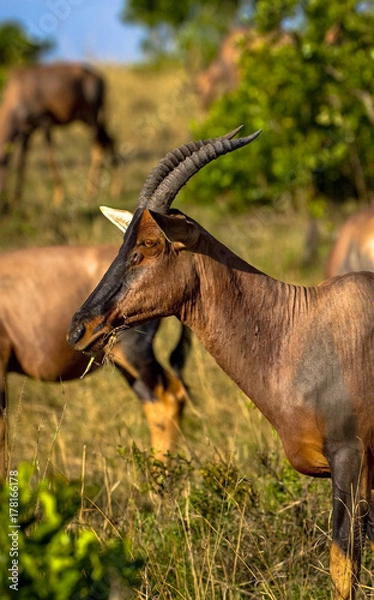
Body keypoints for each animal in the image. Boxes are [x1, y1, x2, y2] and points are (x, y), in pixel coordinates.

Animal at [0, 62, 117, 209]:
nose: (4, 204)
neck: (19, 87)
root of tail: (99, 77)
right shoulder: (27, 132)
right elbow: (22, 163)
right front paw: (16, 200)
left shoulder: (45, 123)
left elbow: (50, 158)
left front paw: (58, 199)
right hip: (86, 119)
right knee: (110, 139)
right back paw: (113, 190)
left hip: (92, 119)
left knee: (99, 144)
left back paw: (94, 193)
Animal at [68, 127, 374, 600]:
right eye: (123, 243)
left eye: (149, 245)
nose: (79, 329)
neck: (298, 326)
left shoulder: (349, 458)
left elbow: (343, 568)